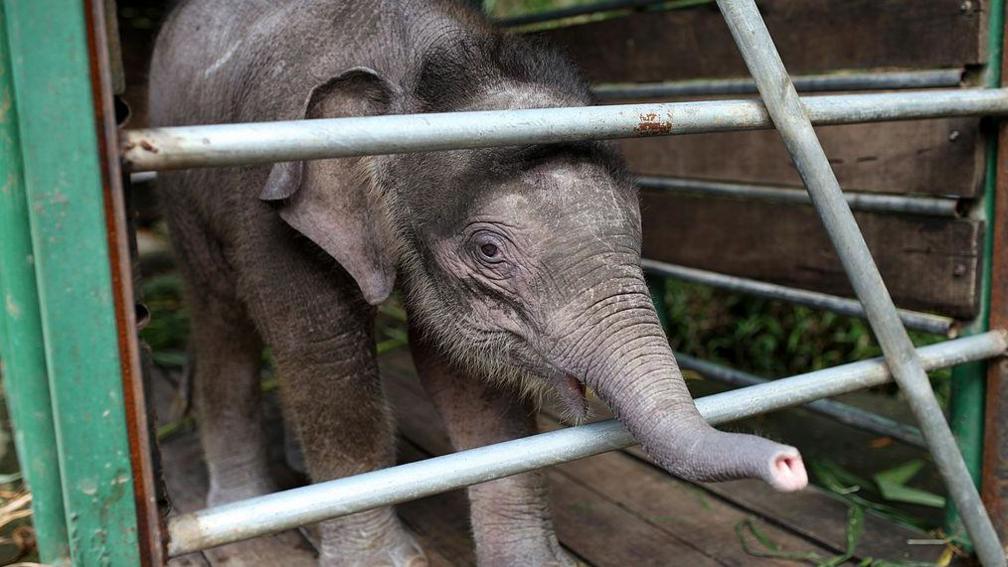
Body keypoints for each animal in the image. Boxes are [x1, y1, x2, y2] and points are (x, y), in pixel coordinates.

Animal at [149, 0, 806, 560]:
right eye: (489, 250)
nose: (789, 463)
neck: (415, 66)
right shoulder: (270, 203)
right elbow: (325, 353)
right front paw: (383, 560)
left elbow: (471, 378)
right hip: (184, 193)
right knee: (221, 316)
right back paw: (246, 512)